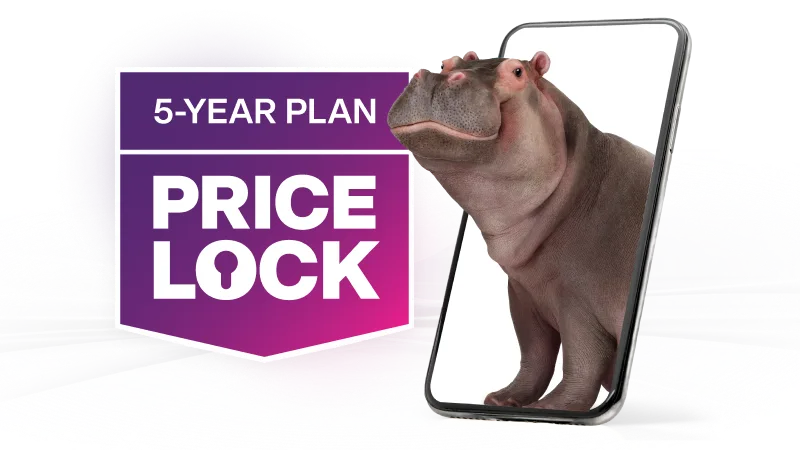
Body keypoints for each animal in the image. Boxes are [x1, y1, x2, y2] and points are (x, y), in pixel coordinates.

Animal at [388, 51, 654, 411]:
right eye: (446, 64)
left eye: (517, 71)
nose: (434, 79)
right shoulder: (524, 292)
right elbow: (534, 352)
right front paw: (502, 400)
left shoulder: (579, 303)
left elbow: (581, 361)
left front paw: (547, 409)